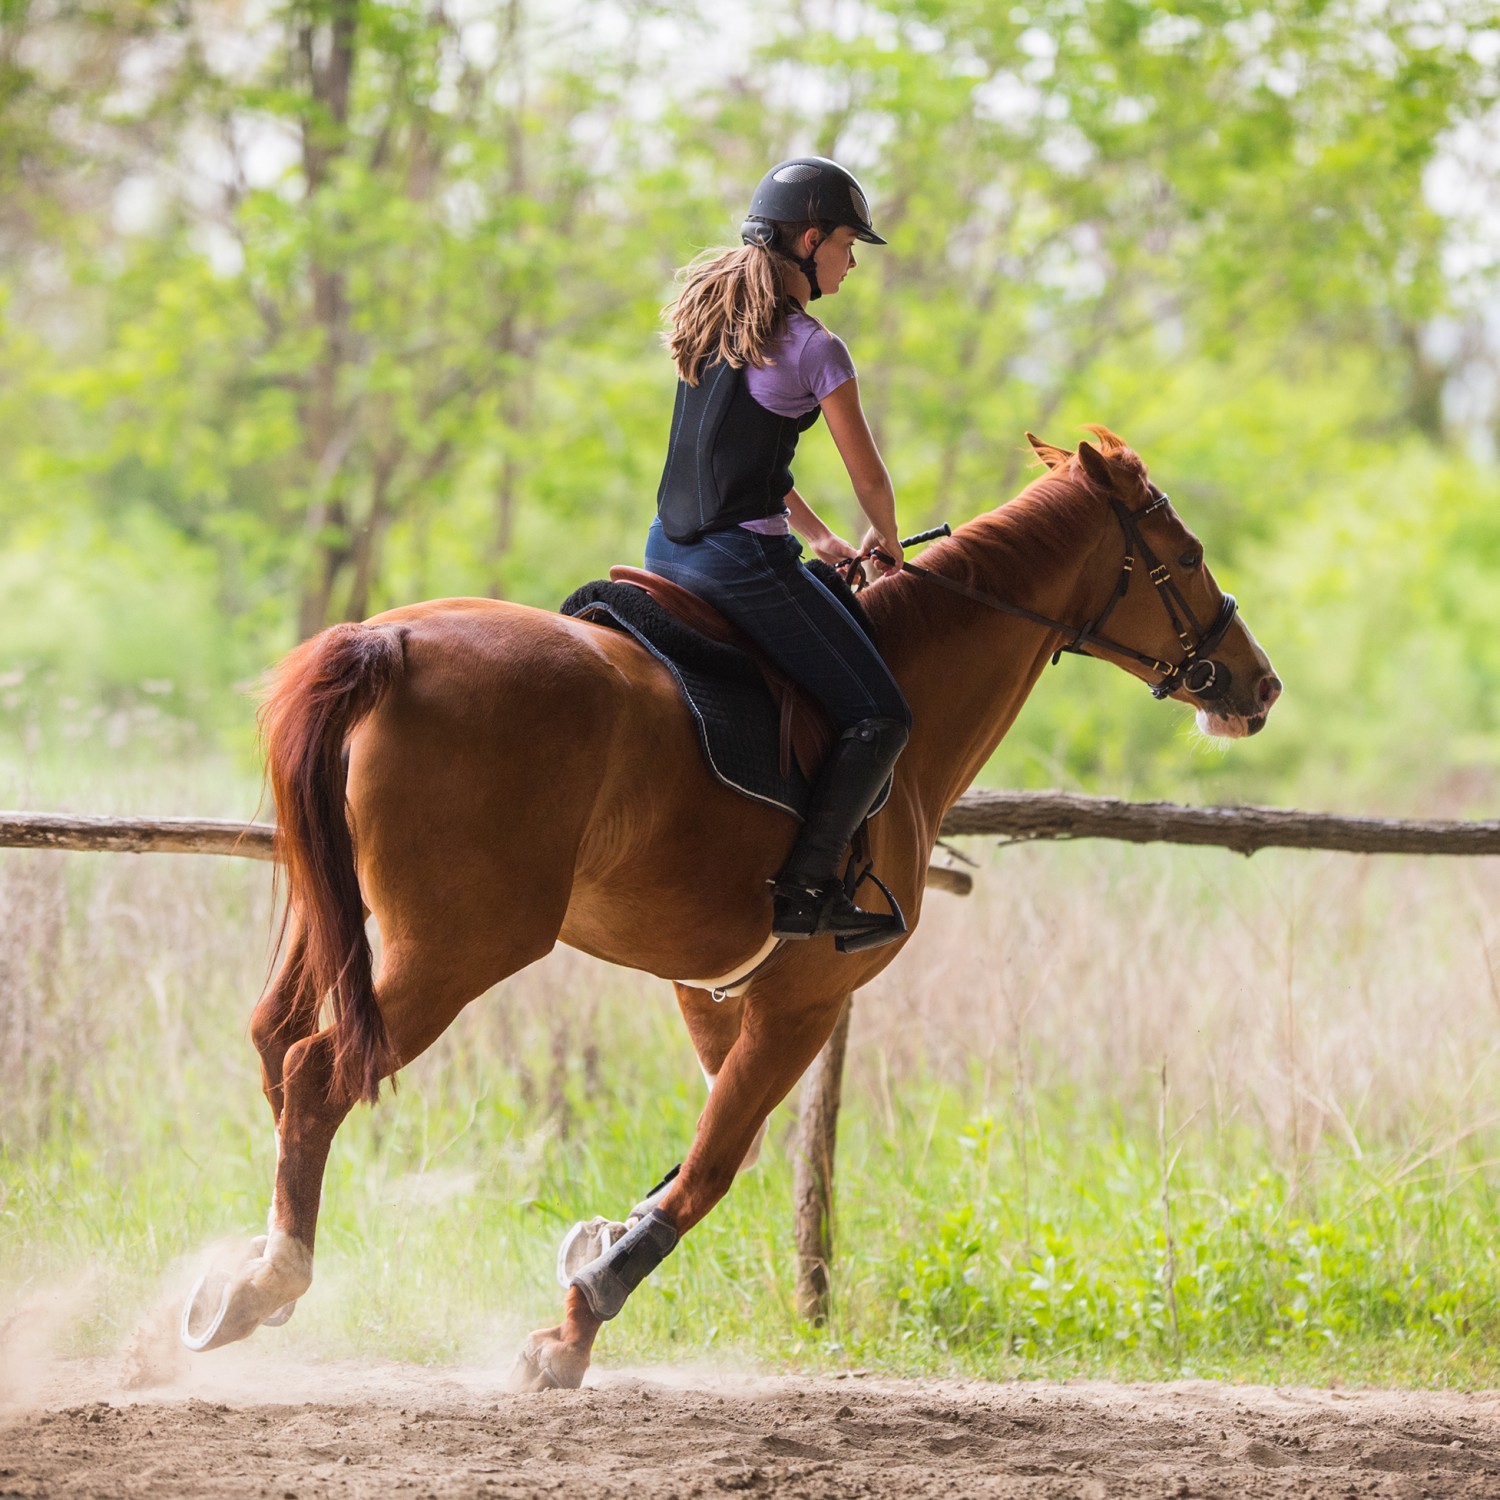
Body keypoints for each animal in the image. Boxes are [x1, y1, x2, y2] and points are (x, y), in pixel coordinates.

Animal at [175, 429, 1278, 1386]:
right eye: (1185, 556)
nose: (1257, 685)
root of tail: (389, 641)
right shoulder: (806, 1000)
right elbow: (713, 1166)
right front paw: (575, 1327)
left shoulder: (708, 986)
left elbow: (711, 1143)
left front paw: (597, 1248)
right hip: (456, 948)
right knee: (320, 1072)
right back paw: (267, 1283)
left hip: (336, 914)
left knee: (275, 1042)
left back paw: (248, 1272)